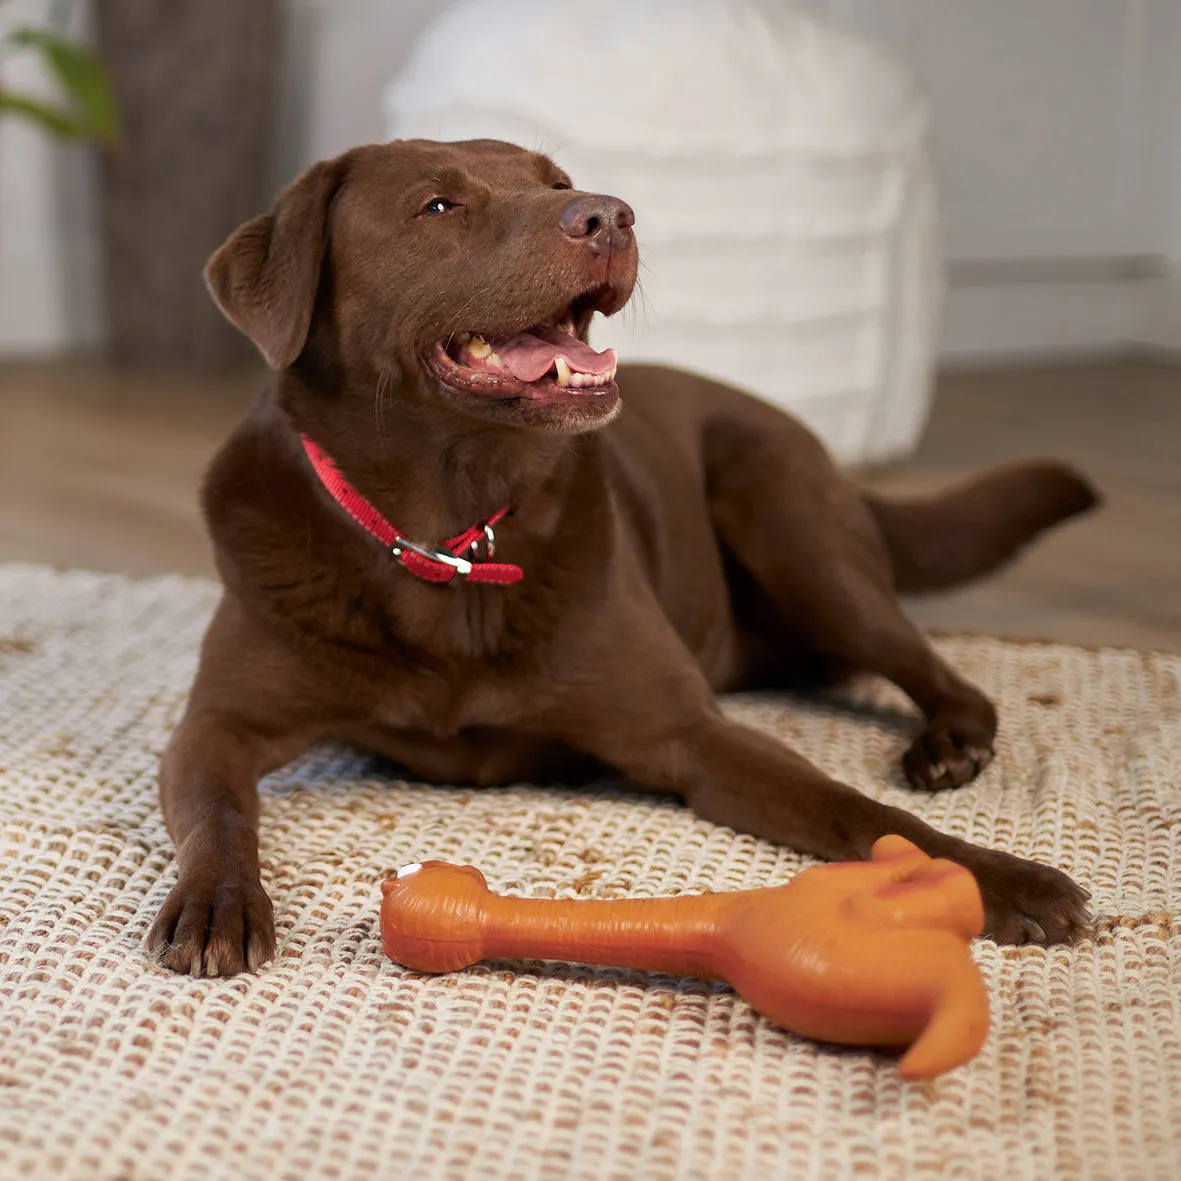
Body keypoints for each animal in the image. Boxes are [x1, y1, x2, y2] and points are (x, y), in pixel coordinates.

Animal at [147, 138, 1095, 973]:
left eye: (557, 181)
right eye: (439, 205)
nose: (609, 214)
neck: (451, 533)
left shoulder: (690, 734)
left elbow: (854, 808)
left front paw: (996, 877)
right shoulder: (215, 728)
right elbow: (220, 813)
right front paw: (217, 903)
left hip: (791, 523)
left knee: (935, 666)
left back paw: (950, 743)